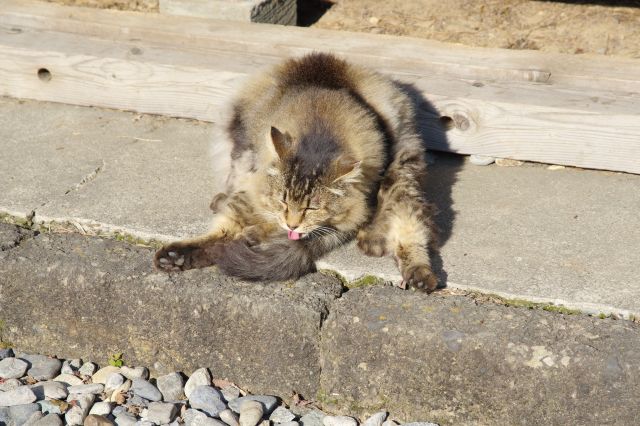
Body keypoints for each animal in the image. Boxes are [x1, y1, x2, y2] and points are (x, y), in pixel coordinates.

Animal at [152, 51, 438, 292]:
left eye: (312, 208)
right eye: (283, 200)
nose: (292, 223)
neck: (320, 124)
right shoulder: (253, 178)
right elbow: (227, 225)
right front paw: (181, 255)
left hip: (403, 167)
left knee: (408, 223)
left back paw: (409, 265)